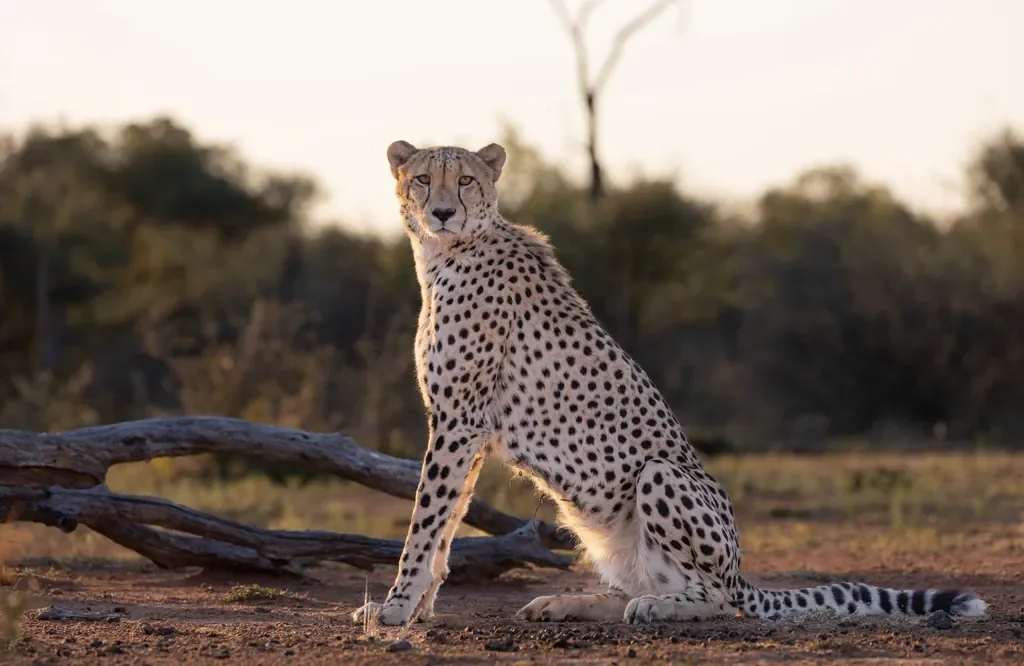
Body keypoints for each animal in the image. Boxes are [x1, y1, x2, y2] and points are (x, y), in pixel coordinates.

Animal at [350, 139, 988, 627]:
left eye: (465, 182)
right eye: (423, 179)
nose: (441, 213)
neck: (444, 255)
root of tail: (740, 572)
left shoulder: (460, 421)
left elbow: (425, 522)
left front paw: (396, 608)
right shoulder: (466, 429)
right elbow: (446, 524)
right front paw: (415, 607)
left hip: (662, 476)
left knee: (716, 601)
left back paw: (661, 609)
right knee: (637, 588)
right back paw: (566, 603)